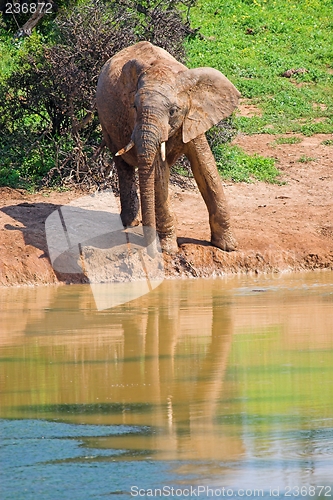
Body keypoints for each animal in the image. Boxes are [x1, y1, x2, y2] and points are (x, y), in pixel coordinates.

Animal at [94, 41, 240, 254]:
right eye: (134, 107)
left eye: (173, 111)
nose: (152, 251)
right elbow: (158, 172)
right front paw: (169, 250)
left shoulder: (193, 116)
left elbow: (205, 166)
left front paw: (228, 246)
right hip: (105, 122)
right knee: (123, 165)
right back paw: (130, 222)